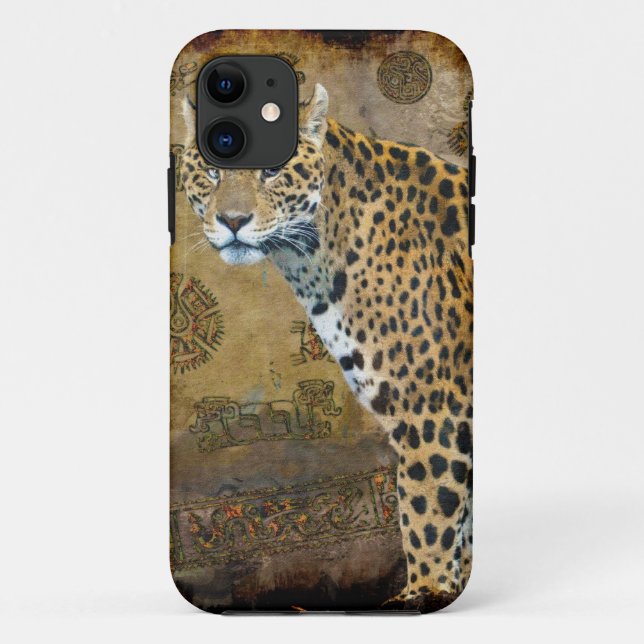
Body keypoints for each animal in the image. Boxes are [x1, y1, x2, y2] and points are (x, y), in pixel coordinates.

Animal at [178, 83, 473, 612]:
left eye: (272, 170)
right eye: (211, 171)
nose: (231, 220)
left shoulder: (432, 413)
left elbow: (427, 522)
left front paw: (424, 593)